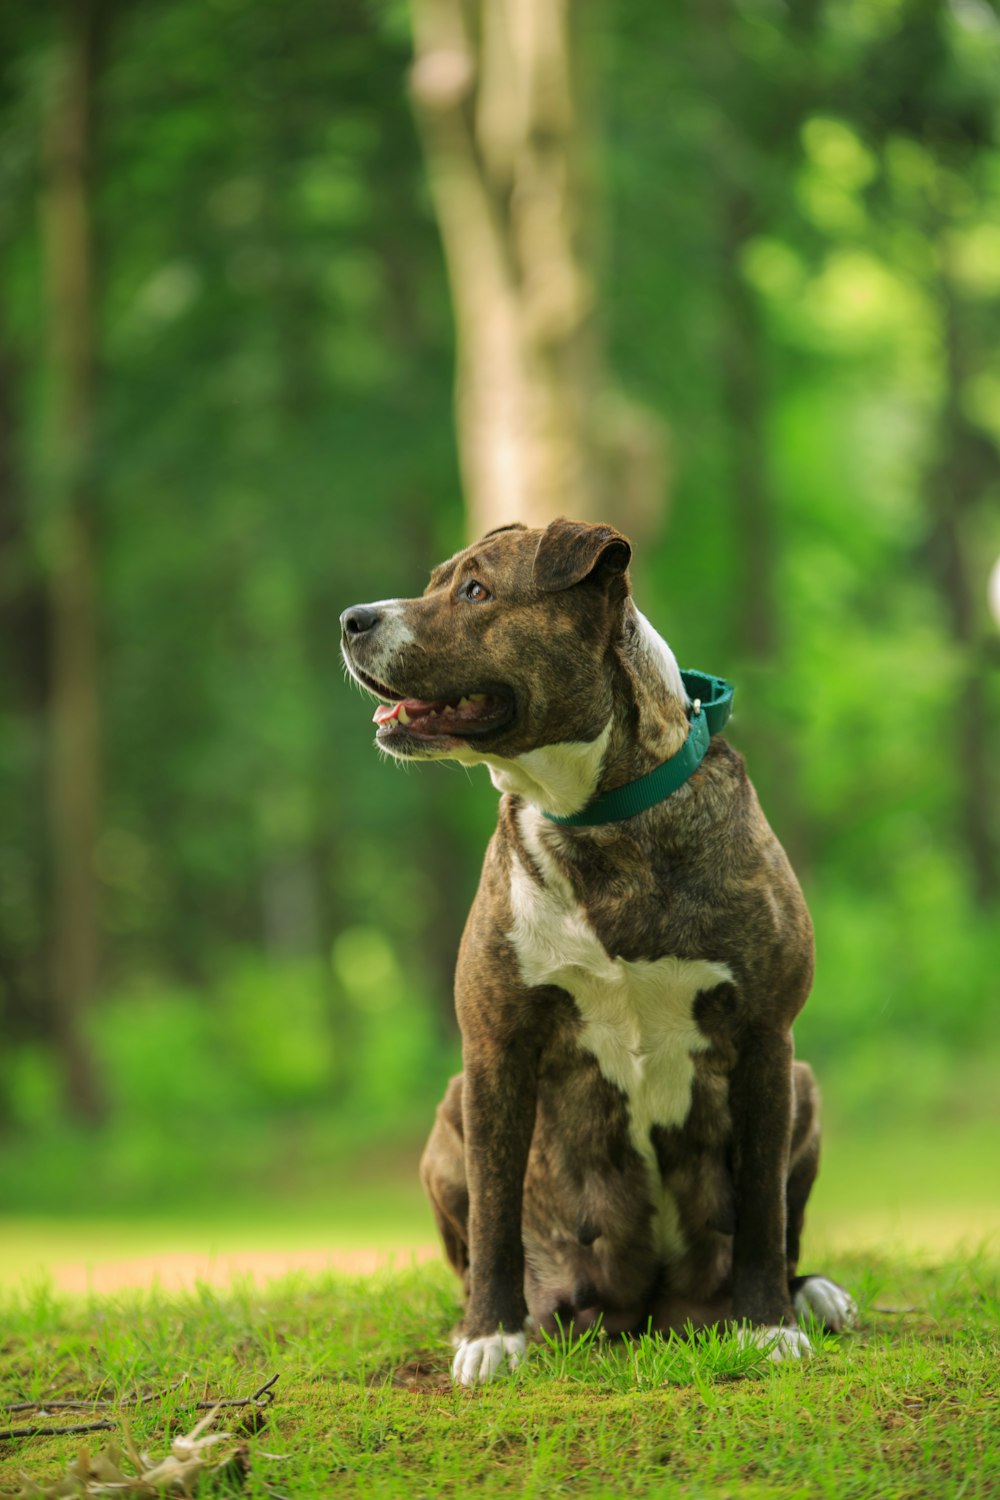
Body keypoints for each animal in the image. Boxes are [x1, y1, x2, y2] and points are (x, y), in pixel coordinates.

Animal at [340, 516, 857, 1380]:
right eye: (437, 581)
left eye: (475, 590)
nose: (352, 619)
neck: (598, 820)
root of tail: (648, 1305)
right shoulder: (496, 1047)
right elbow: (495, 1212)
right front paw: (491, 1336)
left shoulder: (765, 1039)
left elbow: (759, 1206)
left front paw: (767, 1325)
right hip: (449, 1119)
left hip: (805, 1087)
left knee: (781, 1232)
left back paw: (809, 1295)